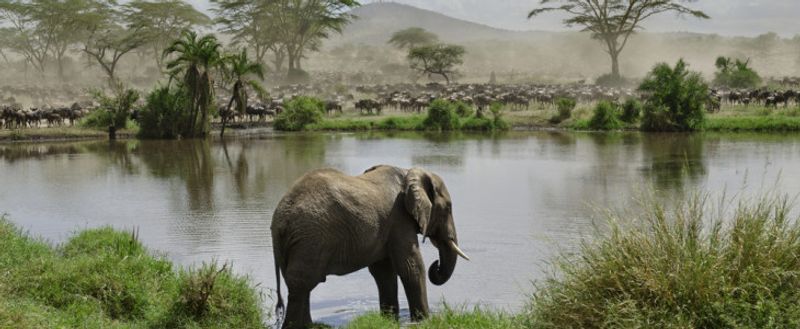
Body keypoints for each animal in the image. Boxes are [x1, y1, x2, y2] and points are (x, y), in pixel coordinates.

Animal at [272, 165, 468, 326]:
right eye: (448, 208)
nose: (436, 265)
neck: (409, 173)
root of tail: (279, 219)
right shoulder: (399, 218)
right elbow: (411, 267)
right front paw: (424, 321)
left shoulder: (388, 225)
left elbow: (384, 272)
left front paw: (390, 320)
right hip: (311, 237)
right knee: (301, 283)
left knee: (300, 286)